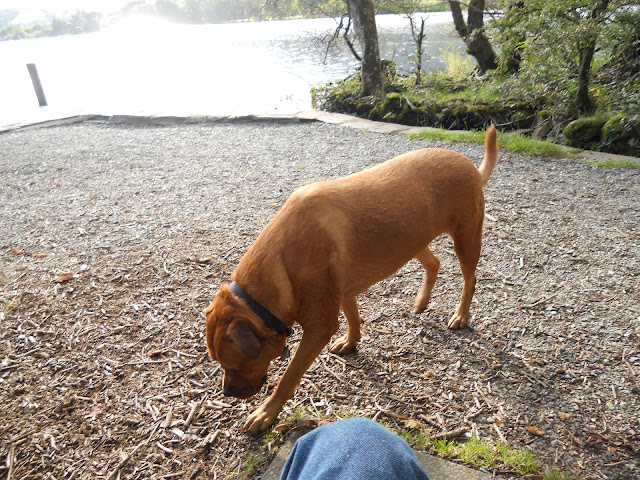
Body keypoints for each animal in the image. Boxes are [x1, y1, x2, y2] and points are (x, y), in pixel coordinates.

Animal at [208, 125, 498, 434]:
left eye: (233, 365)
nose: (226, 392)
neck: (281, 263)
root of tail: (468, 164)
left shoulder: (319, 327)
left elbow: (289, 376)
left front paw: (266, 412)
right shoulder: (342, 290)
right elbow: (352, 317)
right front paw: (351, 342)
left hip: (466, 240)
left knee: (470, 280)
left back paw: (461, 315)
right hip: (413, 240)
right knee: (434, 263)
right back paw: (421, 302)